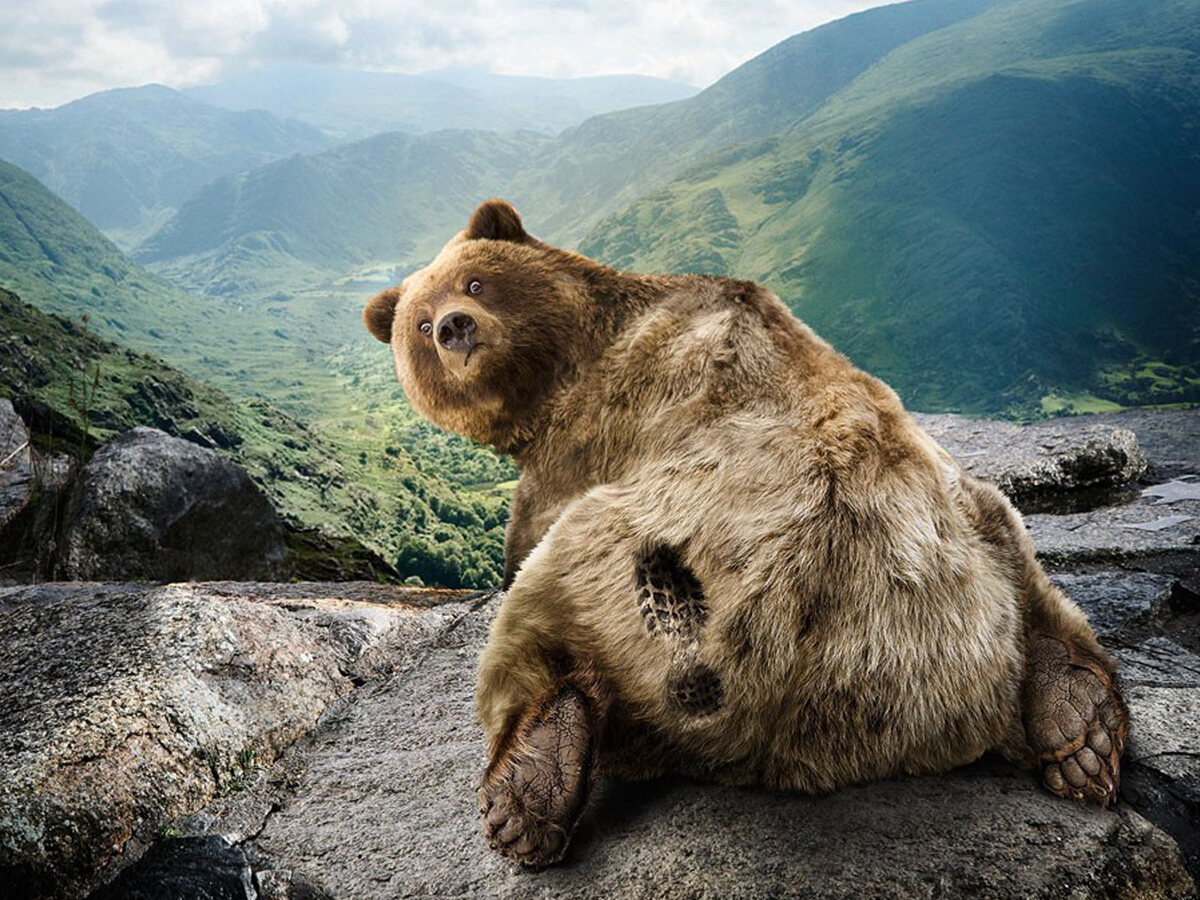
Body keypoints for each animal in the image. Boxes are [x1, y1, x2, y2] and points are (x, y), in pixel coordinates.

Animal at [362, 196, 1123, 868]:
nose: (455, 327)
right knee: (1022, 560)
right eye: (420, 325)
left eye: (474, 281)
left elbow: (523, 543)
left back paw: (529, 787)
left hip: (647, 561)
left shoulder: (589, 437)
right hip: (957, 540)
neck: (566, 364)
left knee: (542, 608)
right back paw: (1080, 727)